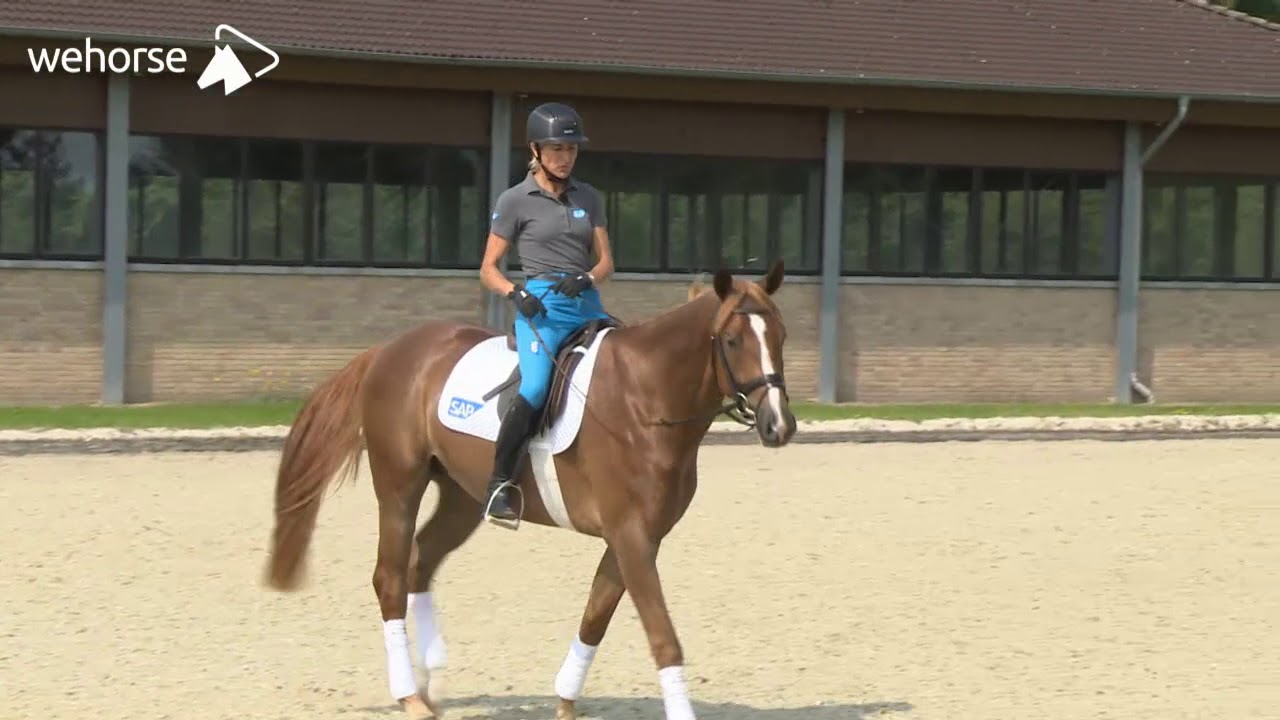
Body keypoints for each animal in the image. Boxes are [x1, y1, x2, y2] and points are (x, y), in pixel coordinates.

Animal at [262, 260, 798, 720]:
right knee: (390, 577)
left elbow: (595, 617)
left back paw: (432, 683)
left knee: (421, 563)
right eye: (732, 340)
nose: (779, 425)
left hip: (462, 497)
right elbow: (663, 638)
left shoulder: (636, 538)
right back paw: (410, 696)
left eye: (781, 335)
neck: (645, 399)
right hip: (399, 485)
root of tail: (388, 350)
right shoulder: (630, 536)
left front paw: (564, 700)